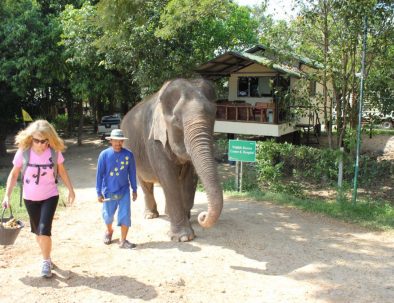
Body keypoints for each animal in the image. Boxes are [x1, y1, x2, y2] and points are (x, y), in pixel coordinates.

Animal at [121, 78, 223, 242]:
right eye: (177, 120)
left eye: (214, 115)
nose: (202, 216)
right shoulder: (154, 138)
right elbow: (168, 177)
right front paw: (184, 237)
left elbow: (190, 178)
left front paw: (187, 220)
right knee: (144, 182)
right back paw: (150, 216)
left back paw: (167, 214)